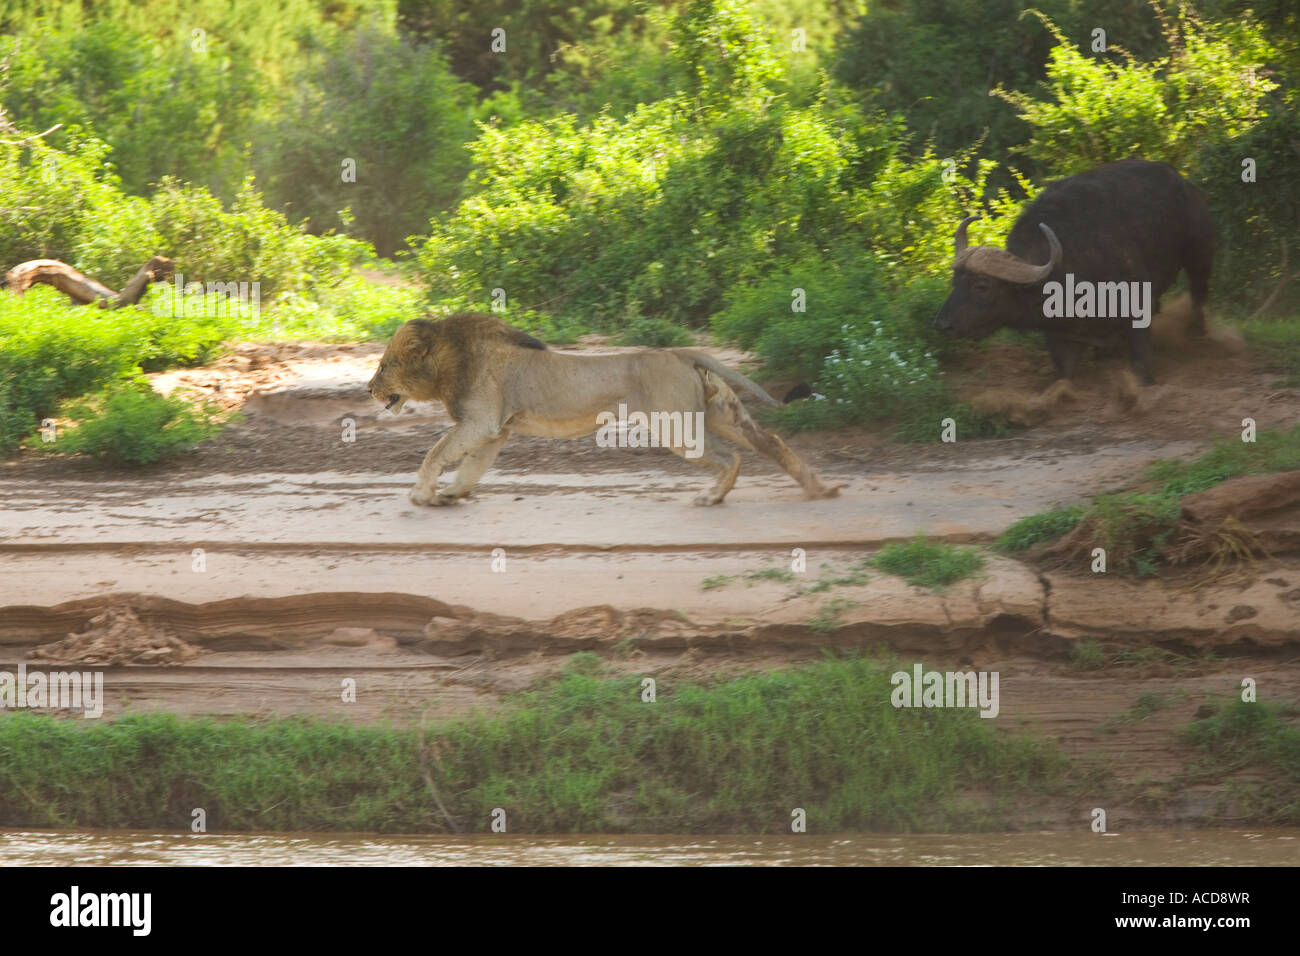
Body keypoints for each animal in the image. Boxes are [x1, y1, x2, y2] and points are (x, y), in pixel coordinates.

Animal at [369, 314, 842, 509]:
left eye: (385, 364)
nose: (369, 388)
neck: (448, 359)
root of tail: (683, 352)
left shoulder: (481, 422)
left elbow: (435, 453)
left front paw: (423, 495)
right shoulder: (495, 430)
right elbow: (471, 466)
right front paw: (451, 495)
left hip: (676, 427)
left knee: (731, 457)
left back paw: (712, 497)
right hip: (722, 413)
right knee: (771, 442)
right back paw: (820, 489)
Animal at [930, 158, 1211, 385]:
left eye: (982, 286)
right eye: (955, 281)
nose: (943, 325)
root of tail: (1184, 183)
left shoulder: (1137, 312)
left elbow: (1142, 367)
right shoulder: (1059, 336)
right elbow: (1063, 377)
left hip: (1199, 254)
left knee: (1198, 294)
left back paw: (1198, 334)